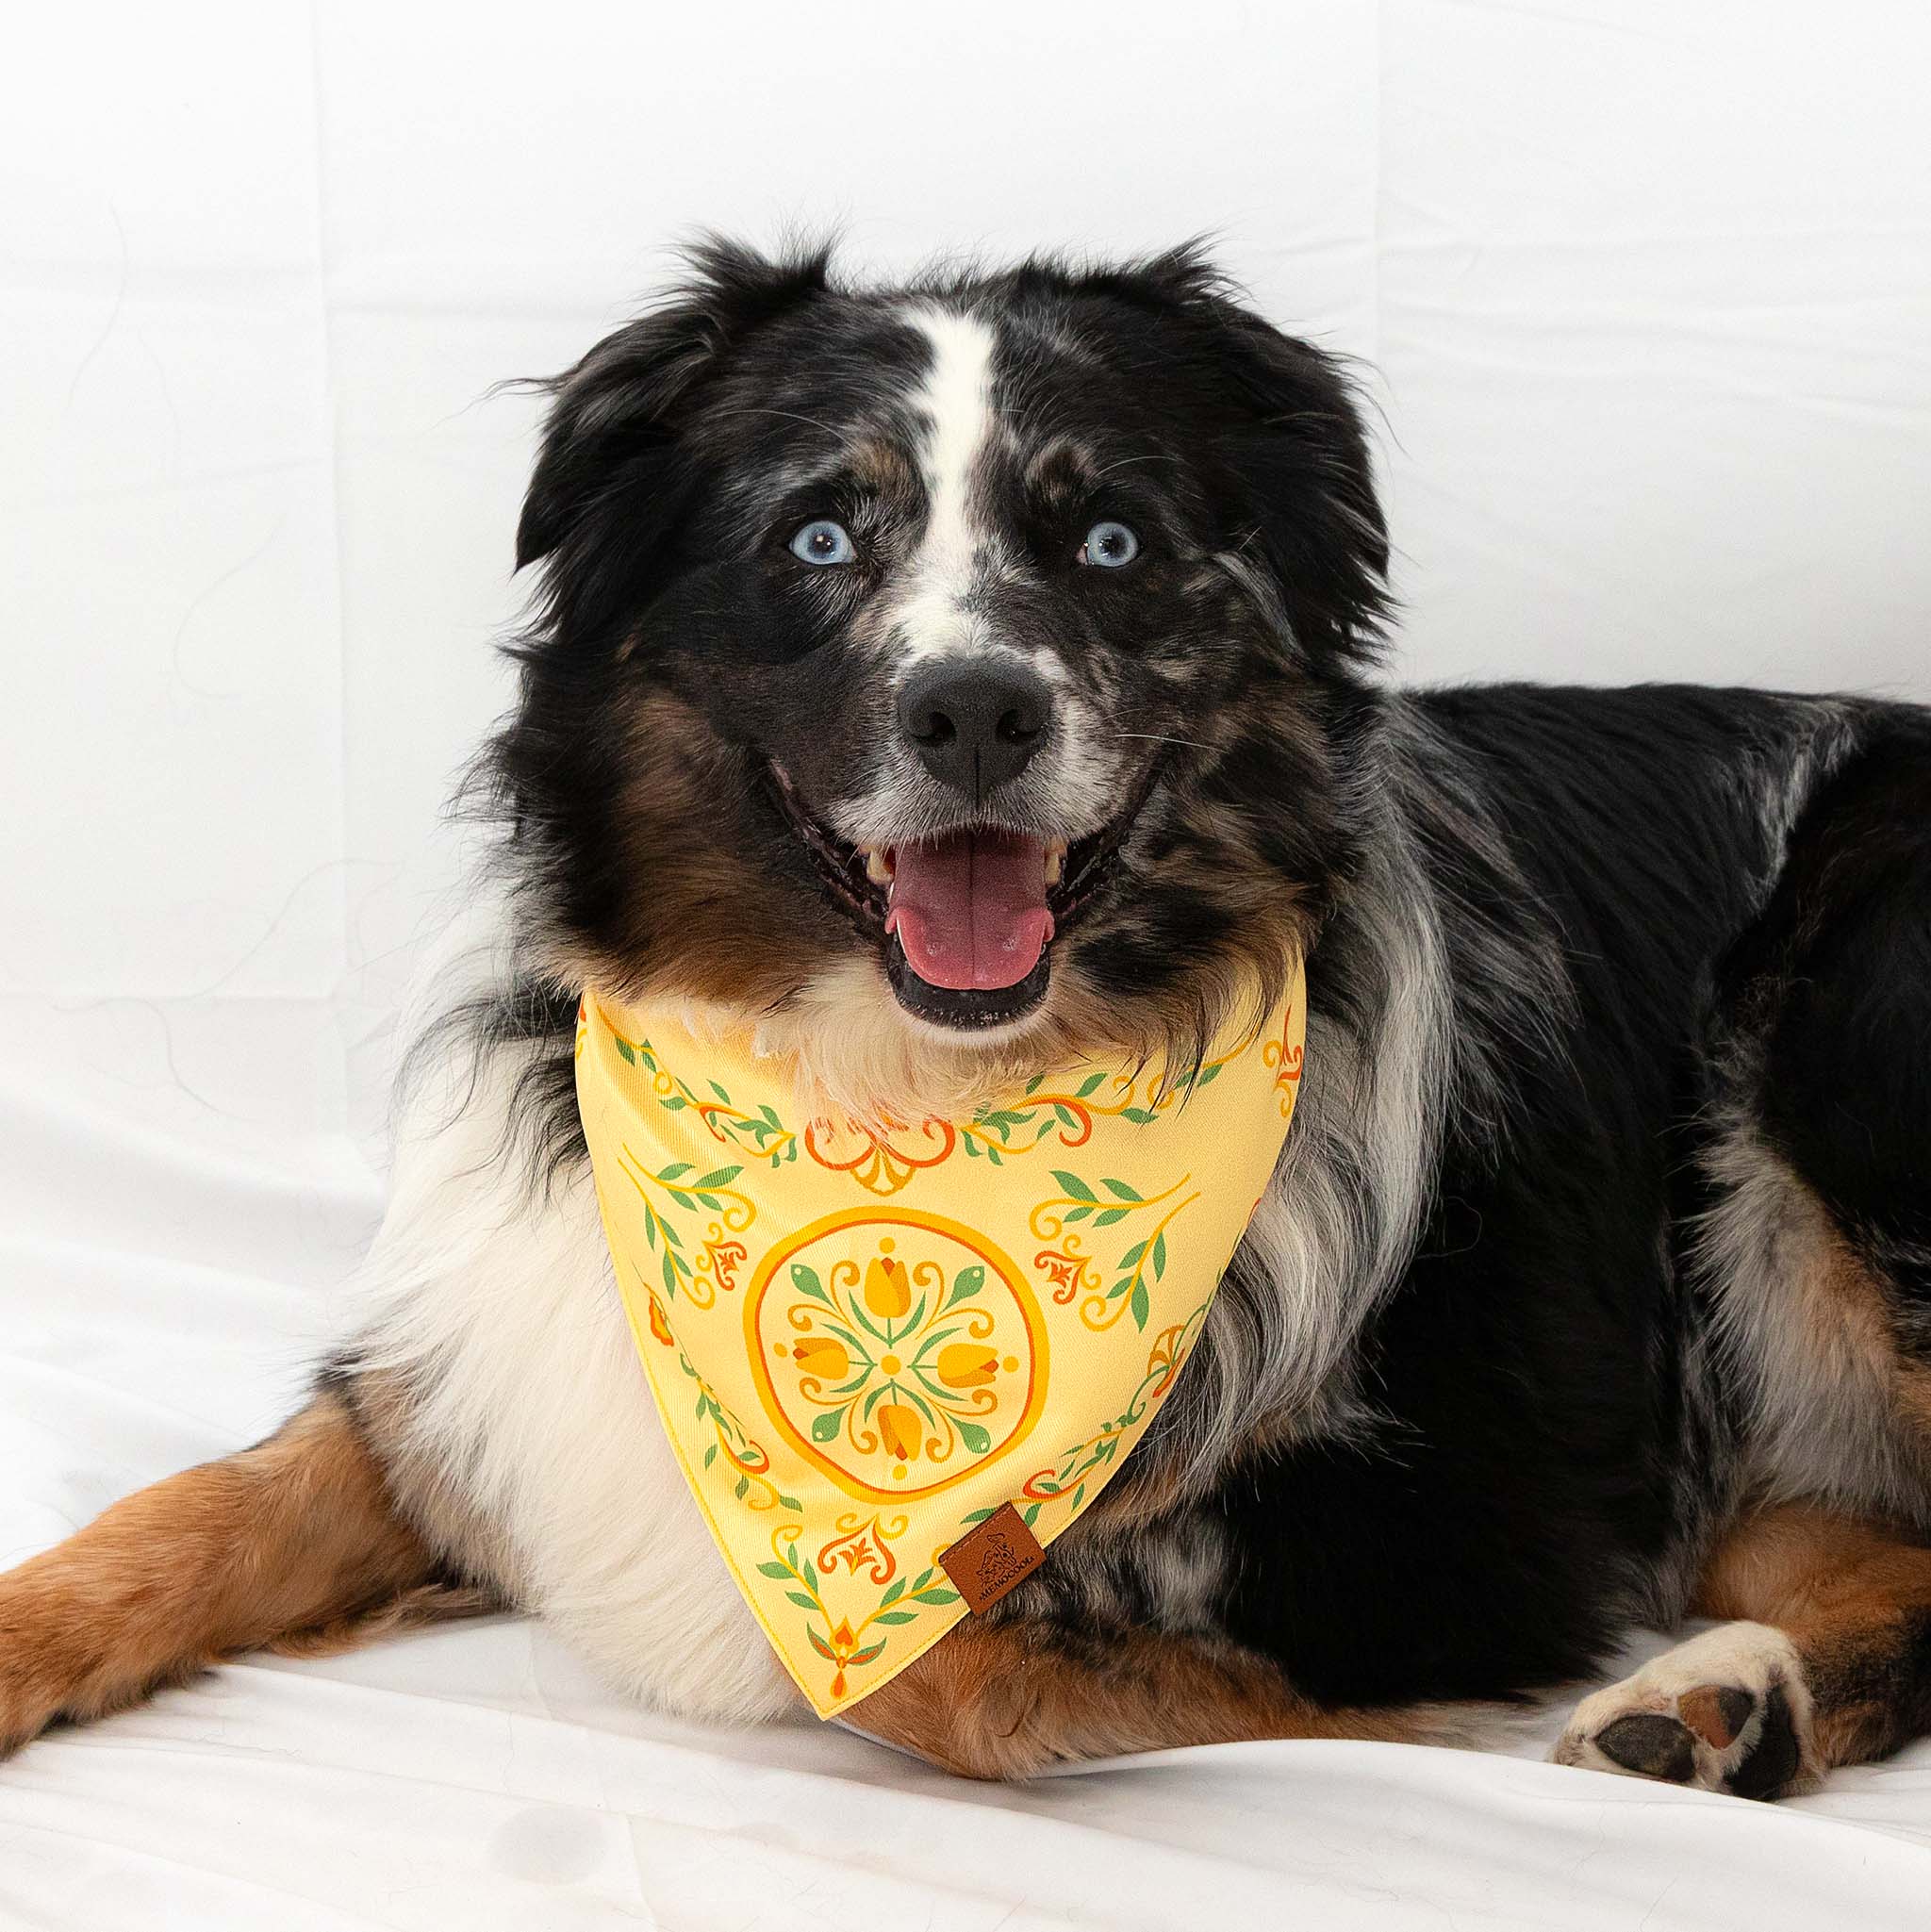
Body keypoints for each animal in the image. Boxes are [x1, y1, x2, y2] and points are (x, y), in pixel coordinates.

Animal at [4, 241, 1931, 1792]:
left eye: (1111, 538)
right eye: (816, 534)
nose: (977, 712)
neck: (895, 1099)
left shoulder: (1471, 1547)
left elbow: (926, 1677)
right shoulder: (485, 1366)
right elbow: (188, 1503)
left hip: (1840, 1019)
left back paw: (1714, 1702)